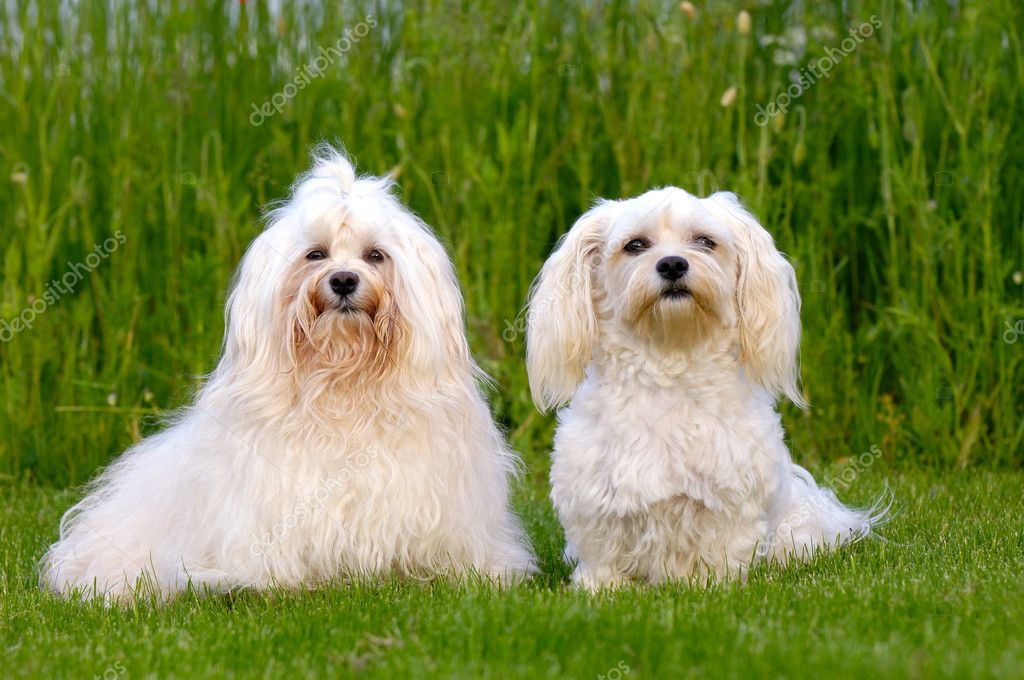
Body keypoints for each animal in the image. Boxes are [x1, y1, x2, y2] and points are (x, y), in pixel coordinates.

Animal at [524, 187, 884, 589]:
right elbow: (604, 554)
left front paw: (712, 585)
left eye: (704, 242)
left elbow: (722, 551)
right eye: (635, 245)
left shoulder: (732, 501)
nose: (672, 264)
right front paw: (600, 589)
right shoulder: (595, 501)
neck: (670, 364)